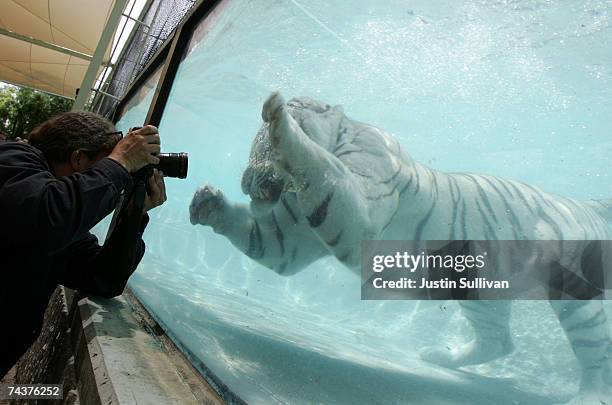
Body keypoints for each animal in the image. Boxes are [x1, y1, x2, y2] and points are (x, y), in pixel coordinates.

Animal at [189, 91, 608, 404]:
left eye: (261, 145)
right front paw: (208, 202)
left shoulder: (357, 202)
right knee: (499, 341)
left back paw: (588, 397)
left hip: (574, 295)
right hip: (481, 292)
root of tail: (588, 204)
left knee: (594, 355)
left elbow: (316, 160)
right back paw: (439, 357)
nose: (246, 182)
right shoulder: (291, 237)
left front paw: (282, 119)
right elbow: (263, 239)